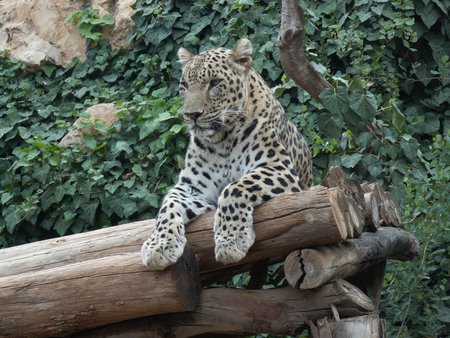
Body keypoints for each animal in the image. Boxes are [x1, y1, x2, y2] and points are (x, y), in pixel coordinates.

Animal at [141, 39, 312, 270]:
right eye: (184, 86)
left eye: (214, 83)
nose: (191, 115)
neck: (222, 140)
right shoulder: (194, 187)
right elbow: (168, 204)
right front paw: (159, 244)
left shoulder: (279, 168)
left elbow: (235, 187)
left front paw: (231, 241)